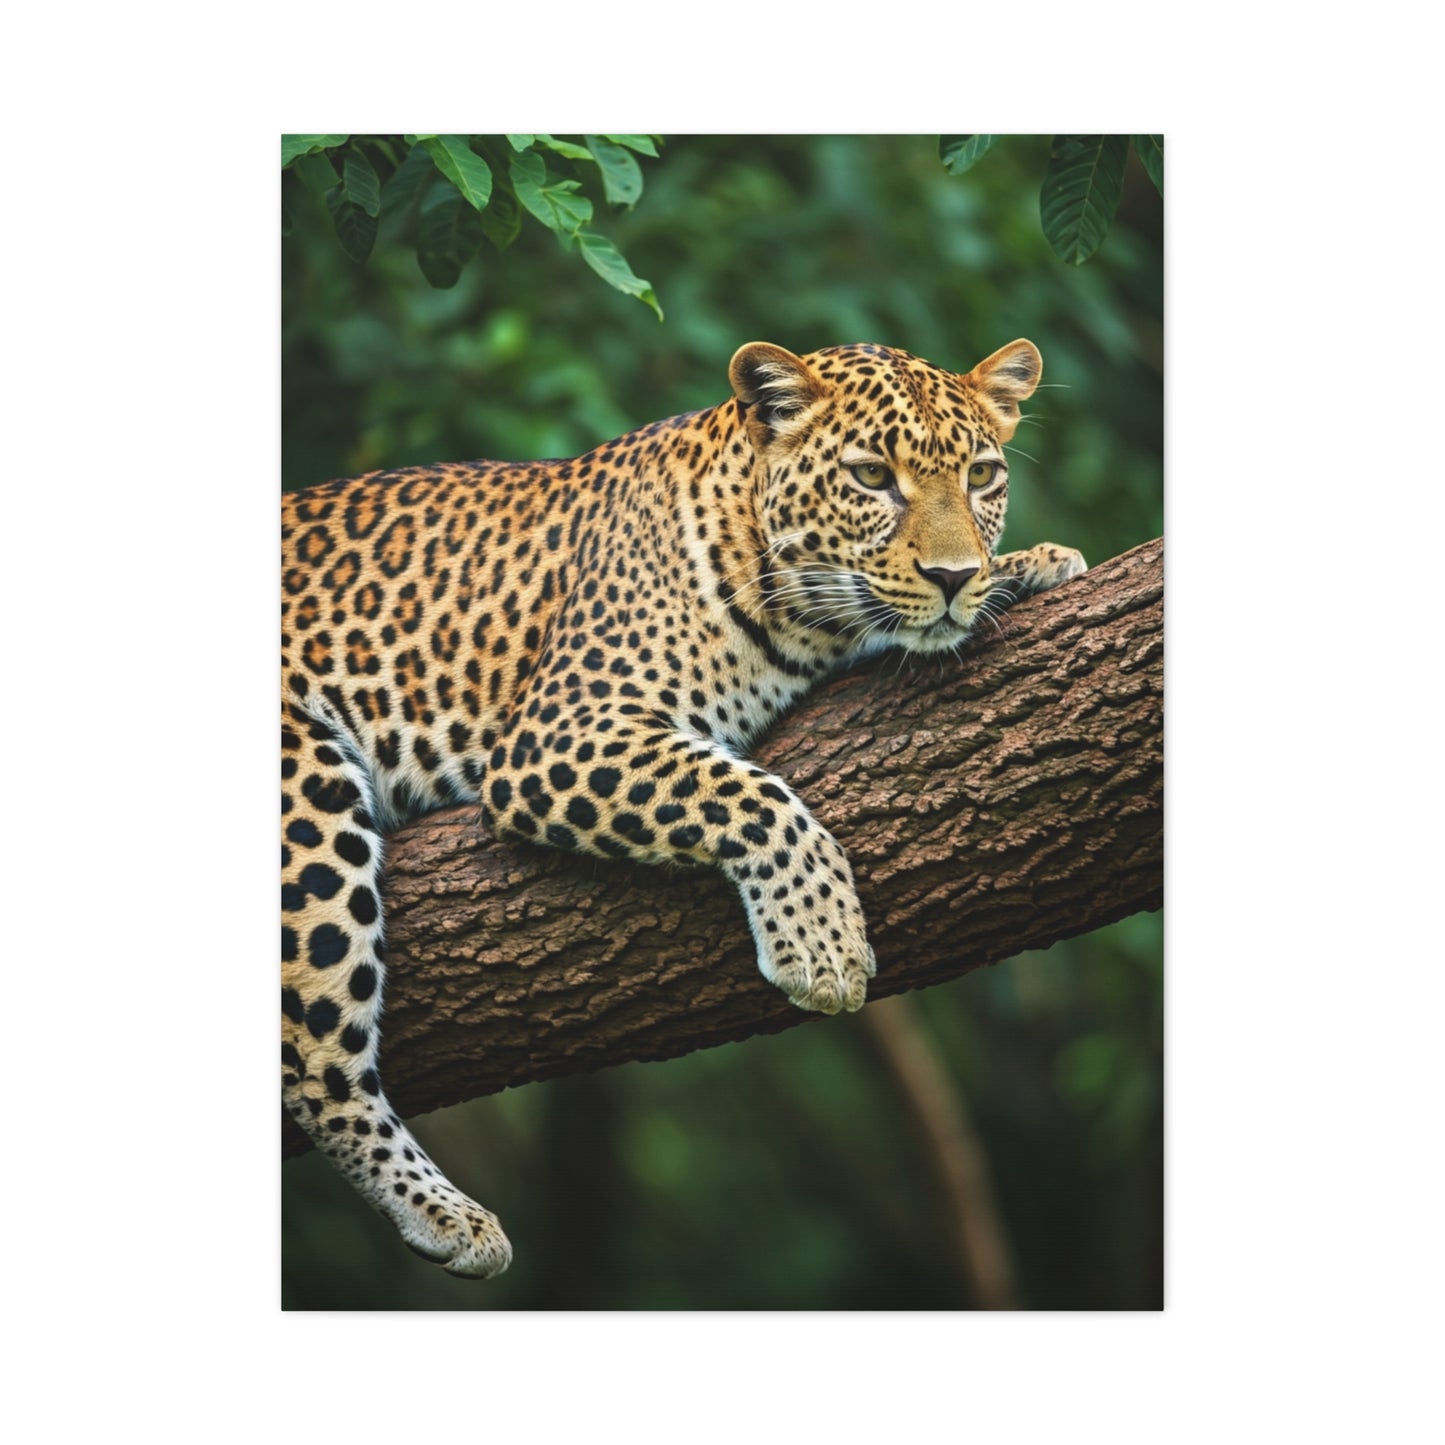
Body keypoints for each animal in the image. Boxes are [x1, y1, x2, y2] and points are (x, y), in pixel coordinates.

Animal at [282, 338, 1087, 1278]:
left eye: (982, 476)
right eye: (870, 476)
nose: (955, 577)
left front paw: (1029, 565)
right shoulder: (559, 732)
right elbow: (754, 793)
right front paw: (822, 946)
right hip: (307, 805)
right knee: (316, 1059)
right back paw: (444, 1212)